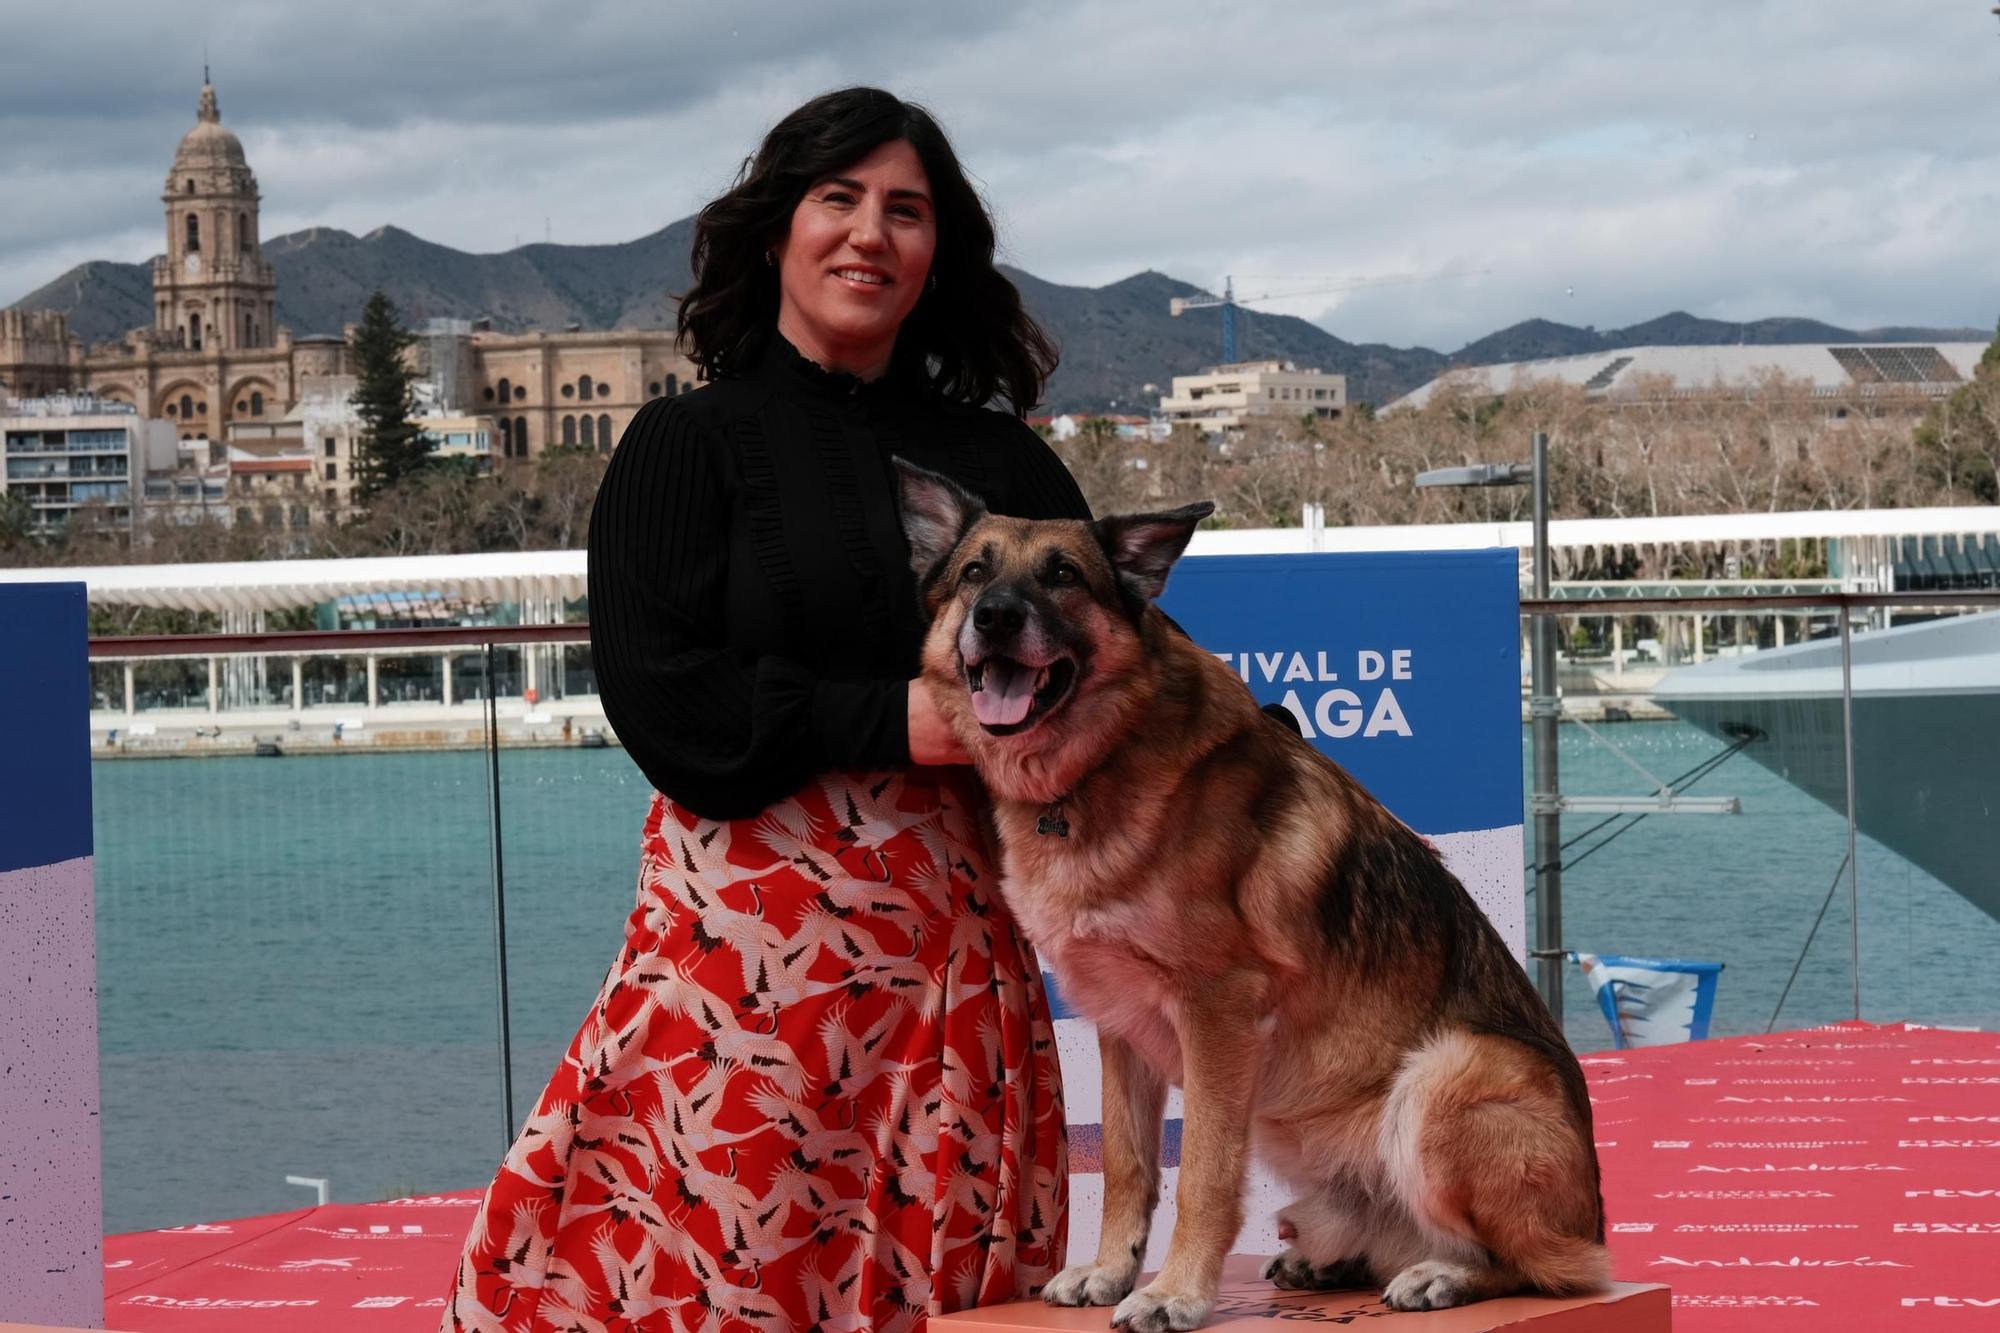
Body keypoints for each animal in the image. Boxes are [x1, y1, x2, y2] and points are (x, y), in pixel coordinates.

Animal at [896, 460, 1608, 1328]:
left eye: (1063, 575)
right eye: (975, 572)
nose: (995, 616)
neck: (1098, 765)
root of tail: (1593, 1212)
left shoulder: (1216, 1012)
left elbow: (1201, 1172)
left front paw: (1175, 1290)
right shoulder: (1118, 1023)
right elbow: (1131, 1165)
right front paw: (1110, 1269)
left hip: (1447, 1074)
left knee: (1543, 1266)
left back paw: (1447, 1273)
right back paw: (1340, 1257)